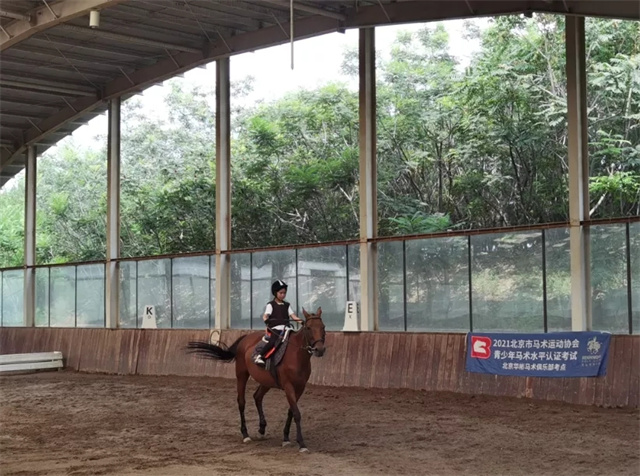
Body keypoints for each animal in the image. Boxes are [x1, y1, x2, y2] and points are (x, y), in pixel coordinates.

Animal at [185, 306, 324, 452]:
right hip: (242, 375)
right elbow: (296, 413)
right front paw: (301, 444)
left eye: (323, 327)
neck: (296, 355)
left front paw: (286, 438)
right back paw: (245, 434)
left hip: (266, 381)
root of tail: (245, 338)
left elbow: (291, 411)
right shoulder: (288, 387)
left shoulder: (300, 388)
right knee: (241, 402)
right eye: (308, 328)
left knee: (257, 396)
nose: (319, 349)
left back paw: (262, 429)